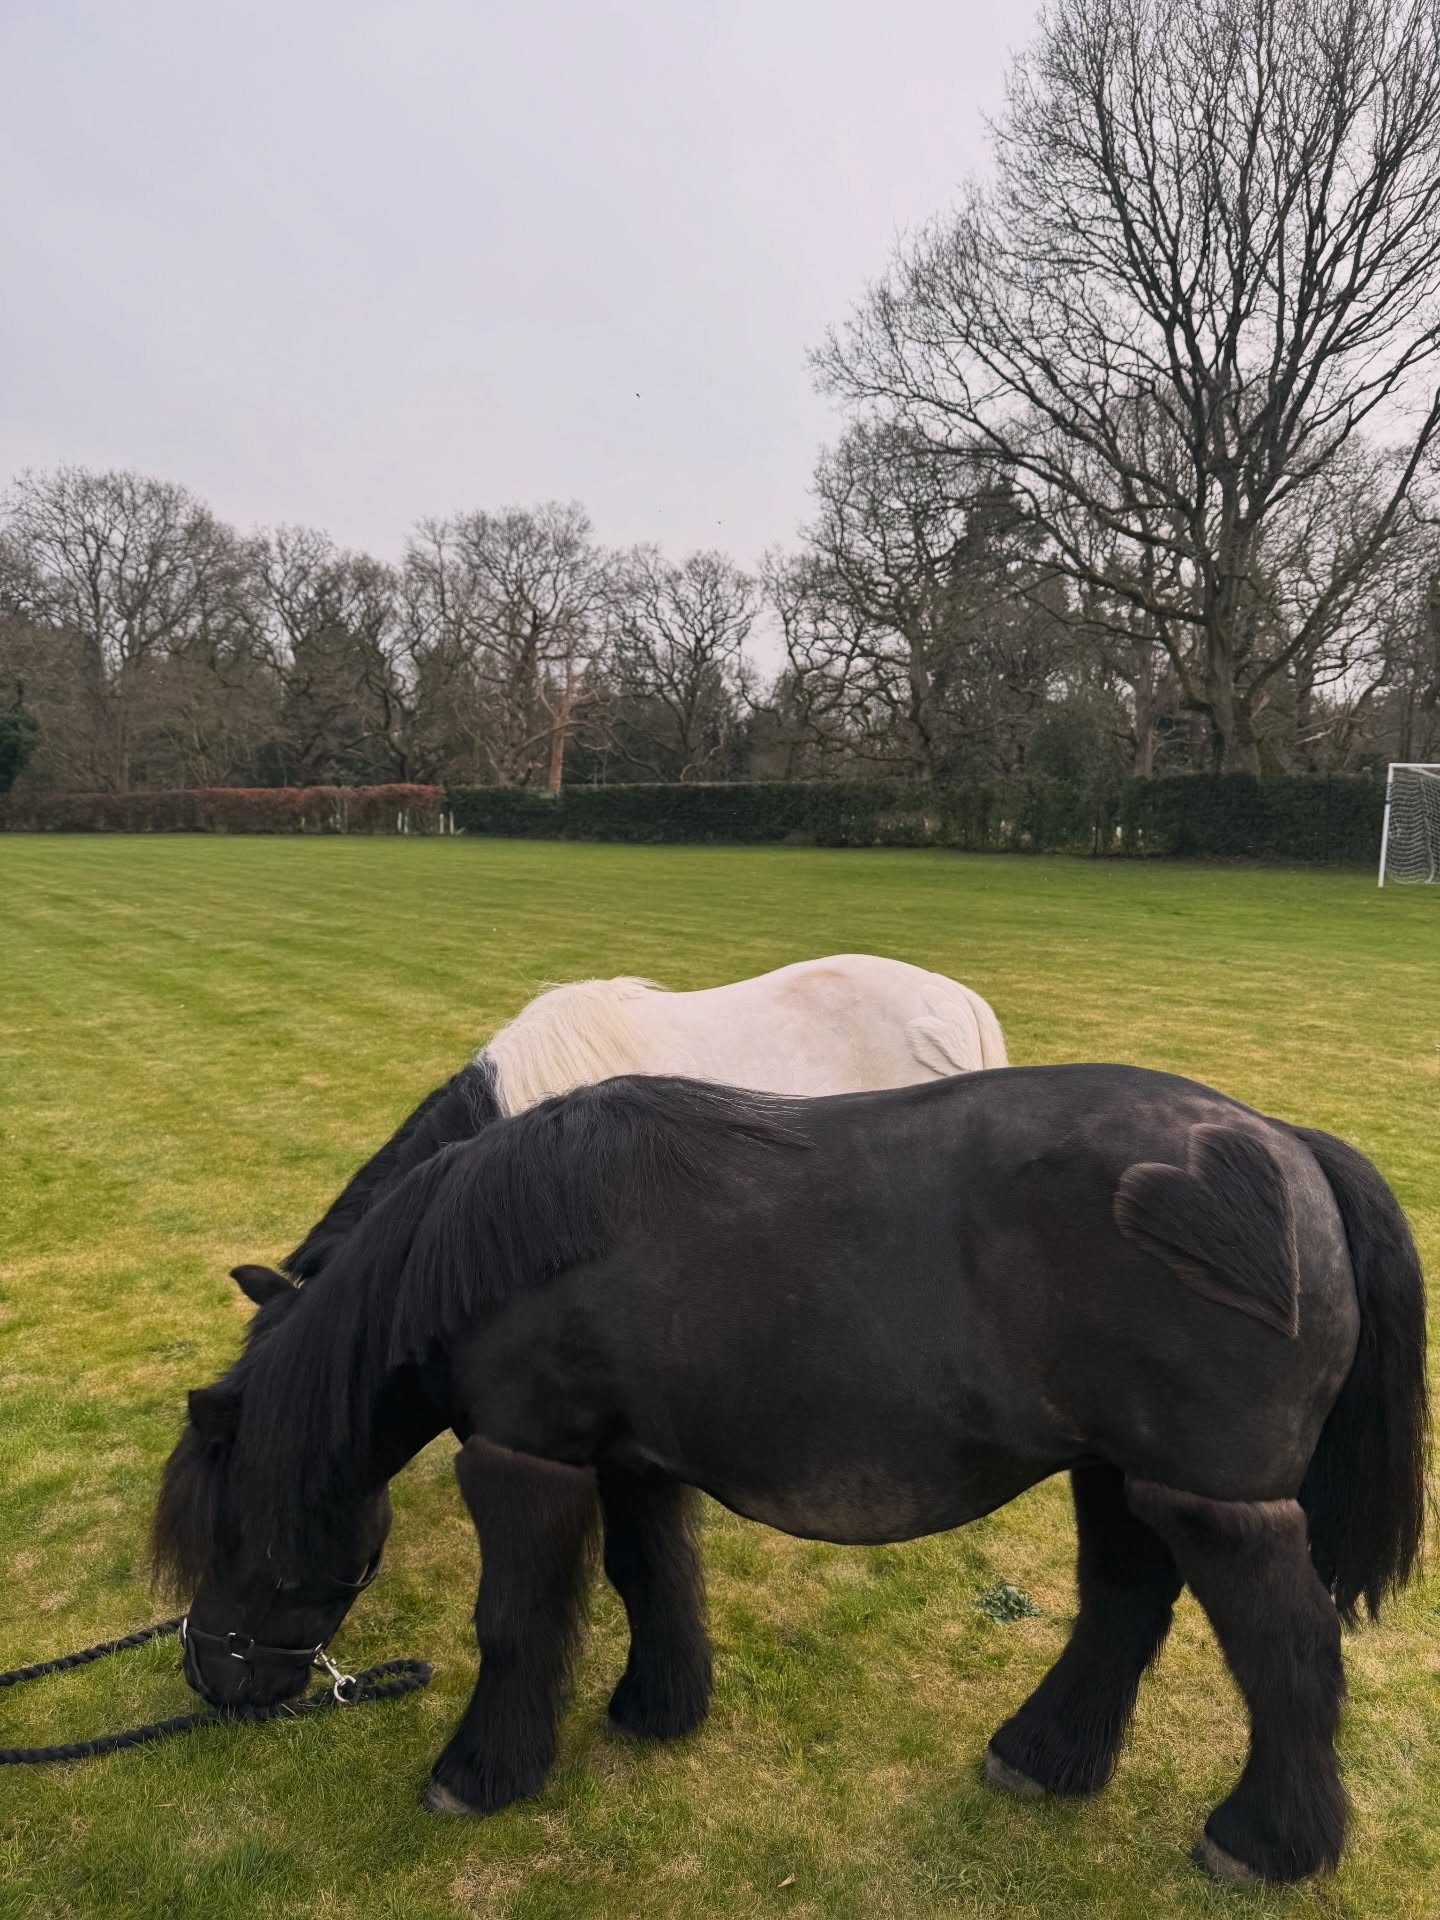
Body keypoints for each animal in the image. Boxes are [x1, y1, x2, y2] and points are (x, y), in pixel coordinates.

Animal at [155, 1064, 1428, 1888]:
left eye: (236, 1531)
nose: (214, 1679)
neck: (483, 1248)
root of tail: (1286, 1147)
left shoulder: (525, 1461)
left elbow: (514, 1622)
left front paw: (481, 1772)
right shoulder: (628, 1458)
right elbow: (650, 1580)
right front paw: (658, 1709)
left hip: (1216, 1506)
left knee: (1291, 1657)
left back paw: (1265, 1842)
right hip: (1117, 1472)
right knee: (1122, 1608)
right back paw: (1043, 1757)